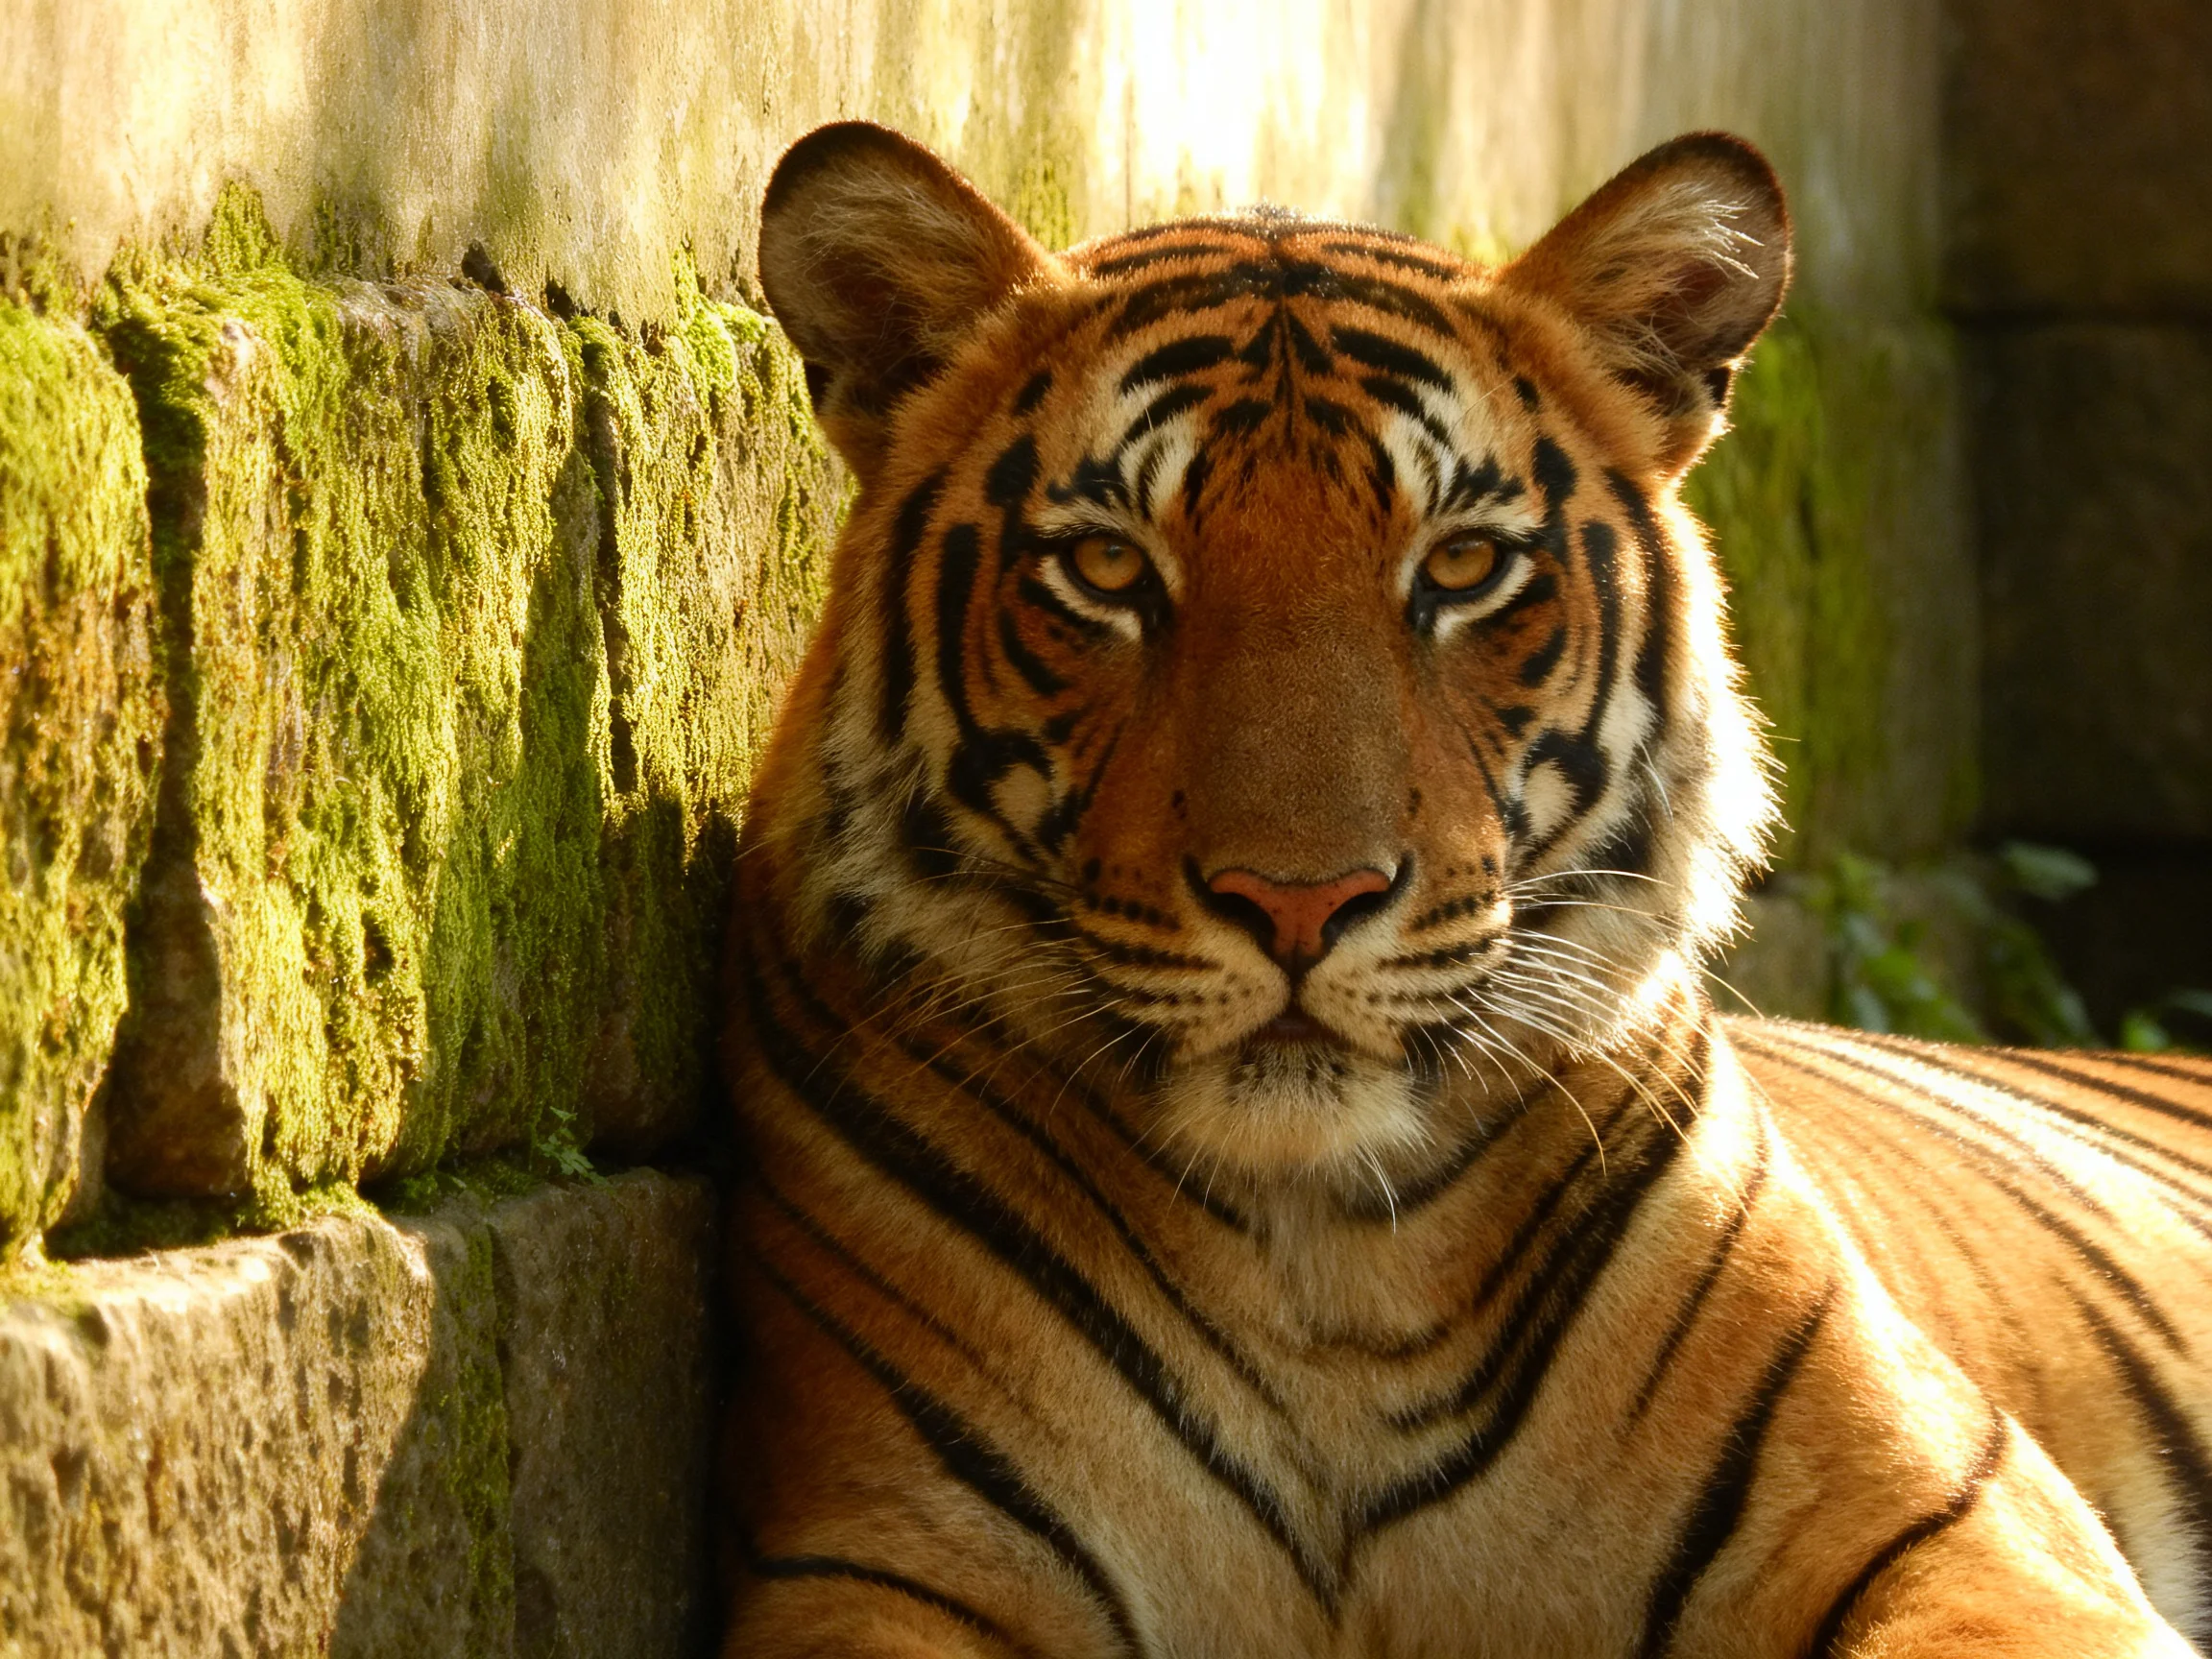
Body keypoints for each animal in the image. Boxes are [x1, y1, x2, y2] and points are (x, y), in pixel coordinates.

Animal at [718, 119, 2212, 1657]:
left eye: (1466, 564)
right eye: (1108, 566)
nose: (1299, 903)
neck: (1326, 1276)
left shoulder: (1956, 1525)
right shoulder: (888, 1558)